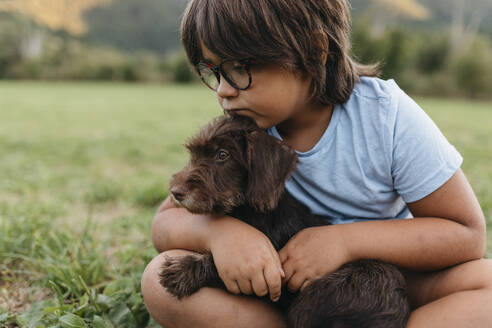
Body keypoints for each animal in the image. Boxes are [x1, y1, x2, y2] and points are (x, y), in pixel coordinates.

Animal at [160, 114, 410, 326]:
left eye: (223, 154)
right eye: (194, 153)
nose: (176, 192)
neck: (249, 209)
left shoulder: (271, 274)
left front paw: (183, 270)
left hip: (315, 299)